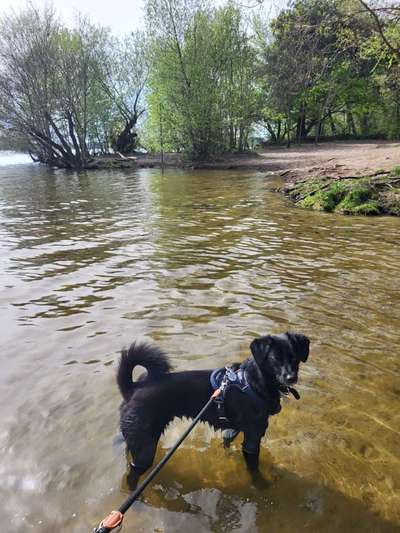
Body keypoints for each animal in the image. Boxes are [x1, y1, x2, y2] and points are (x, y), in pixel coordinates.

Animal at [117, 330, 310, 484]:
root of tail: (133, 387)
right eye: (275, 359)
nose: (291, 377)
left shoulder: (232, 430)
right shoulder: (253, 437)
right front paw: (260, 485)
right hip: (145, 448)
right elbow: (253, 468)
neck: (253, 381)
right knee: (132, 475)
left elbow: (227, 445)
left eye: (294, 357)